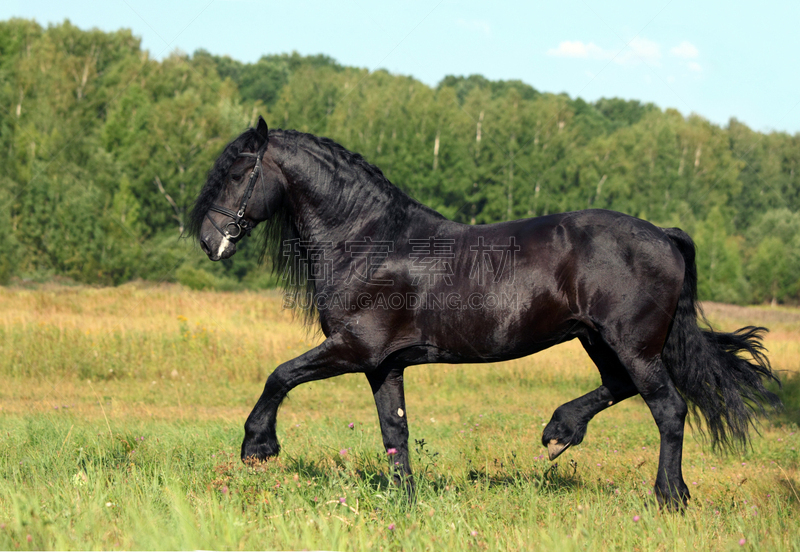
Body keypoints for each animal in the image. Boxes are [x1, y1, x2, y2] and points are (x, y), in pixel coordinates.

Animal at [188, 117, 776, 508]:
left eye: (238, 172)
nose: (209, 241)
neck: (369, 240)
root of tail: (665, 235)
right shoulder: (384, 364)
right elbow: (394, 431)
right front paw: (405, 500)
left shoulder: (354, 348)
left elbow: (280, 374)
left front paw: (258, 446)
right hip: (599, 339)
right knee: (622, 388)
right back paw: (561, 430)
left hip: (631, 343)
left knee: (668, 409)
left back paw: (669, 496)